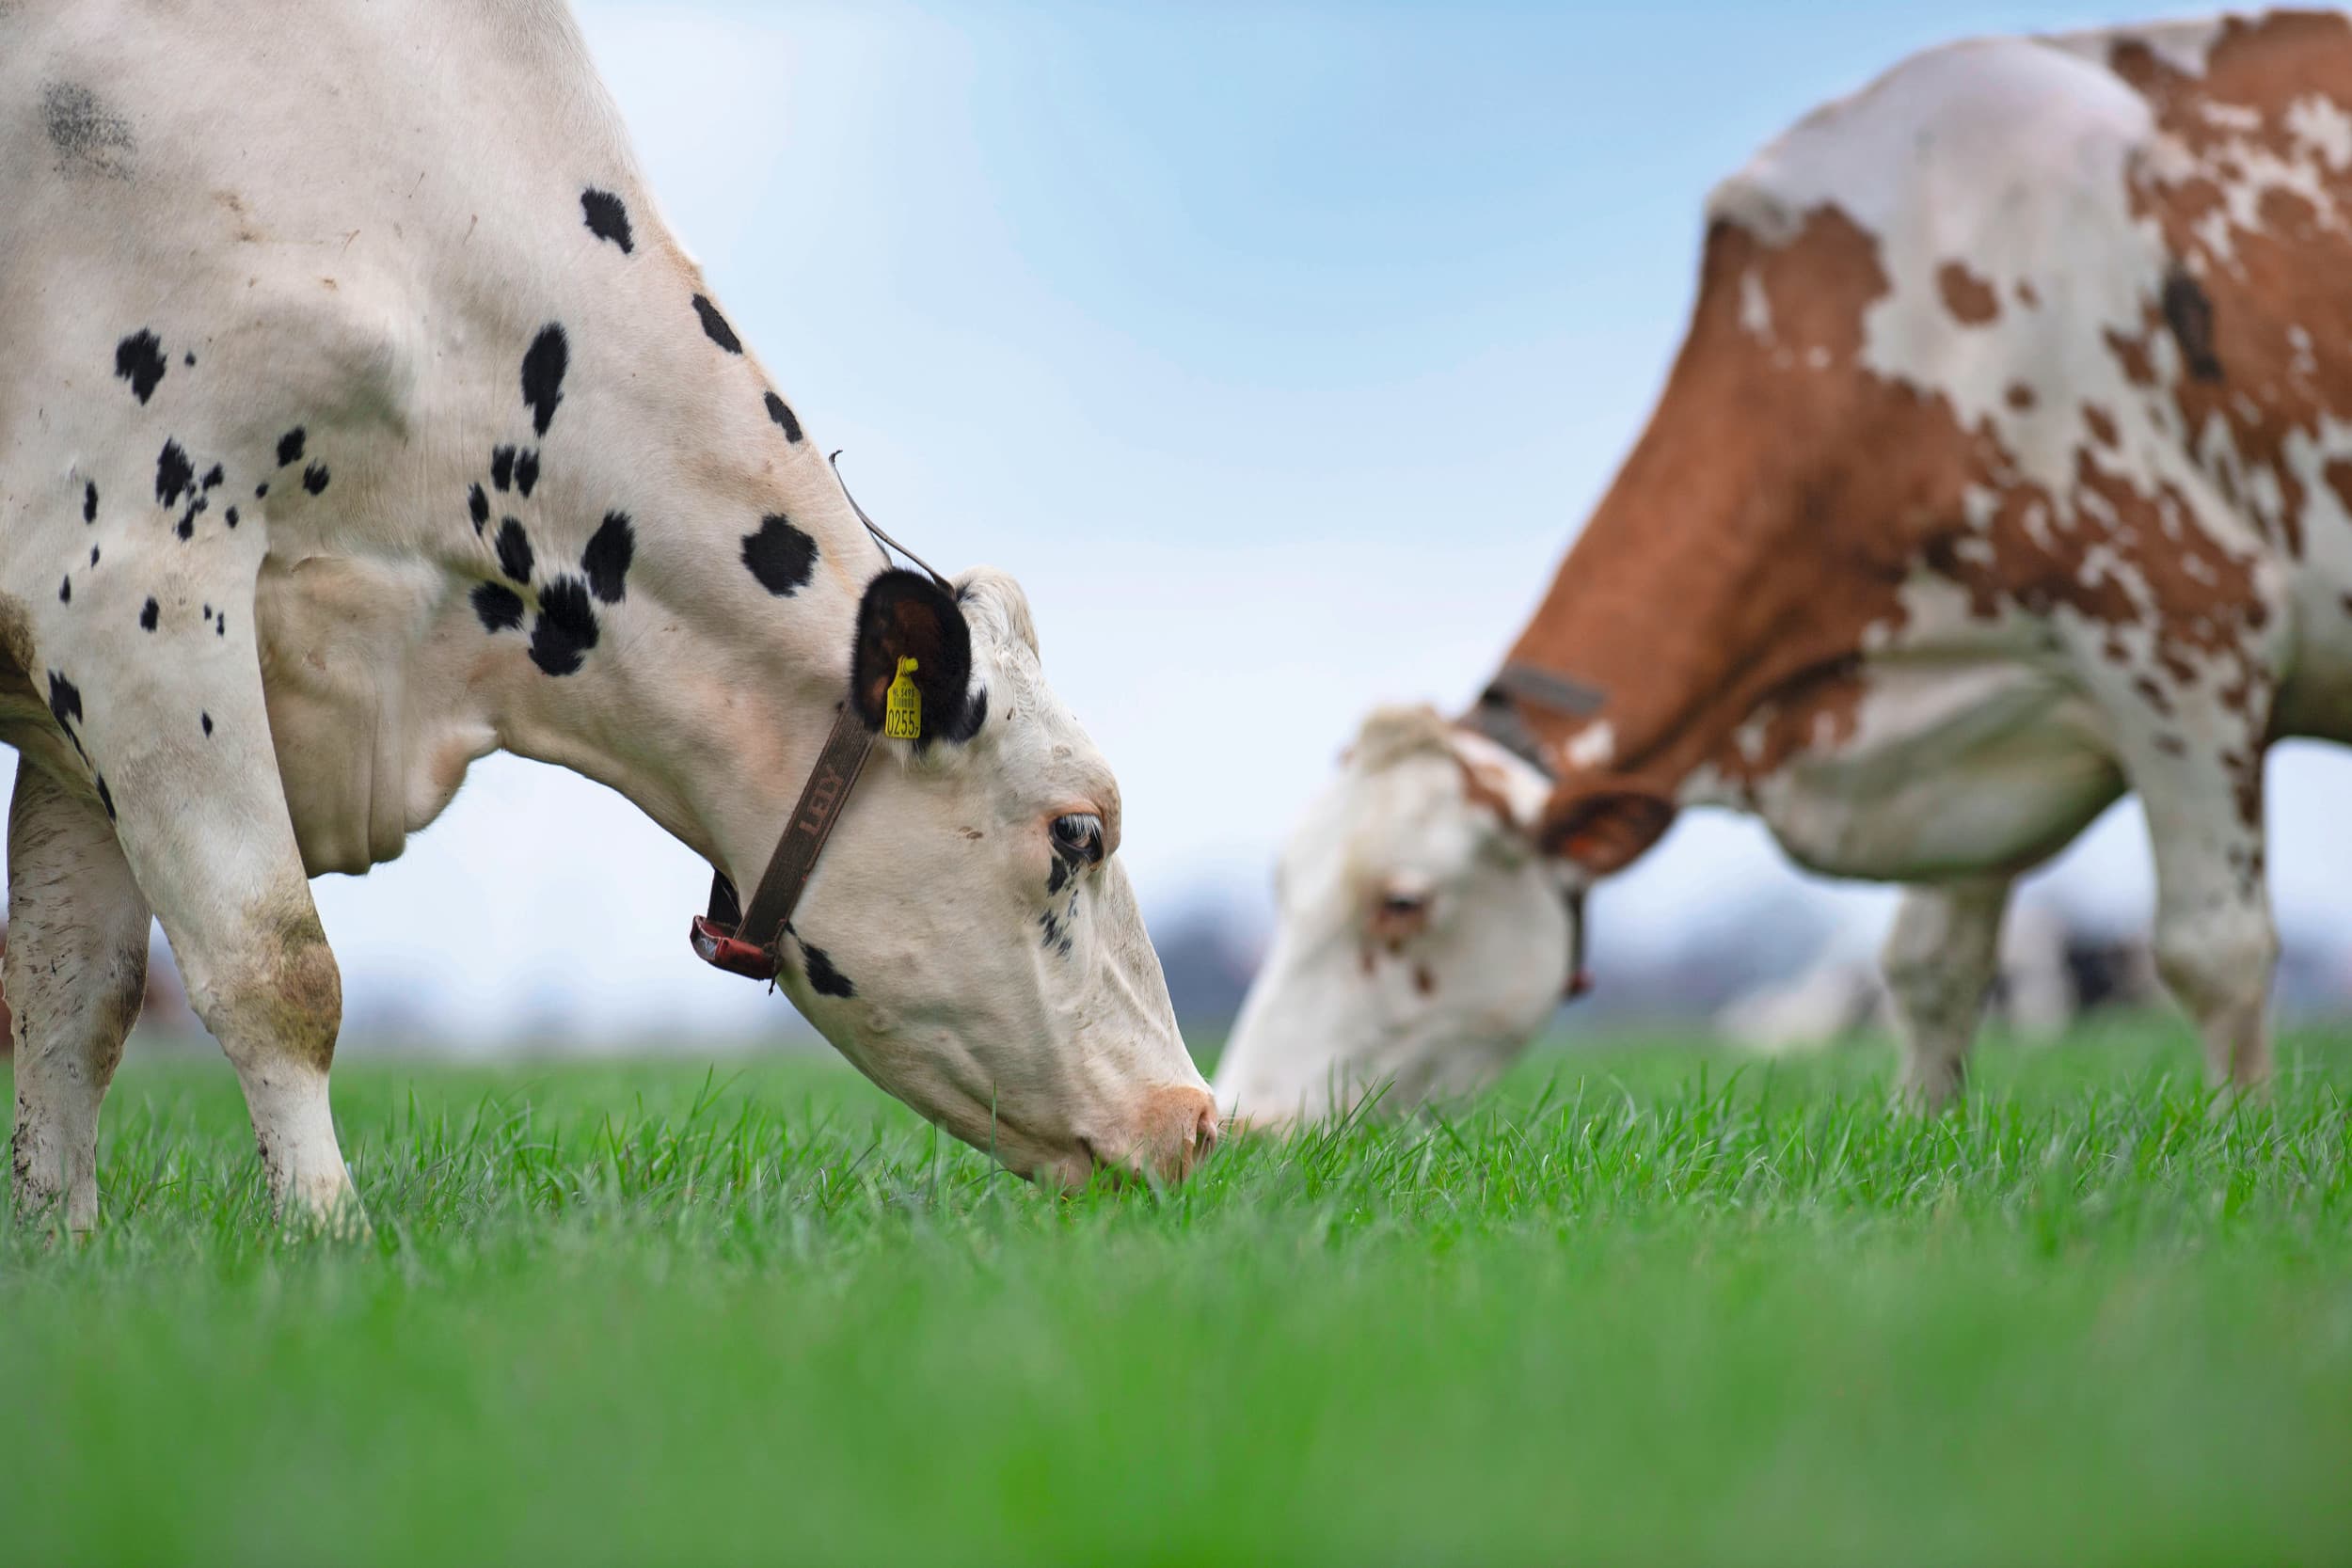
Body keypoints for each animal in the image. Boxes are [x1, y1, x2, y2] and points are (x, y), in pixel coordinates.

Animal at [2, 0, 1217, 1231]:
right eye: (1076, 832)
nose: (1197, 1121)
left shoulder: (75, 693)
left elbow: (74, 996)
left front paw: (64, 1240)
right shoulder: (133, 579)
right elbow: (276, 967)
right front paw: (325, 1234)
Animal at [1217, 12, 2352, 1125]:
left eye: (1400, 903)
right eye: (1282, 890)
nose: (1248, 1122)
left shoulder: (2187, 630)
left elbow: (2212, 950)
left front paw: (2241, 1148)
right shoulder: (1977, 733)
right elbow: (1929, 968)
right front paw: (1924, 1138)